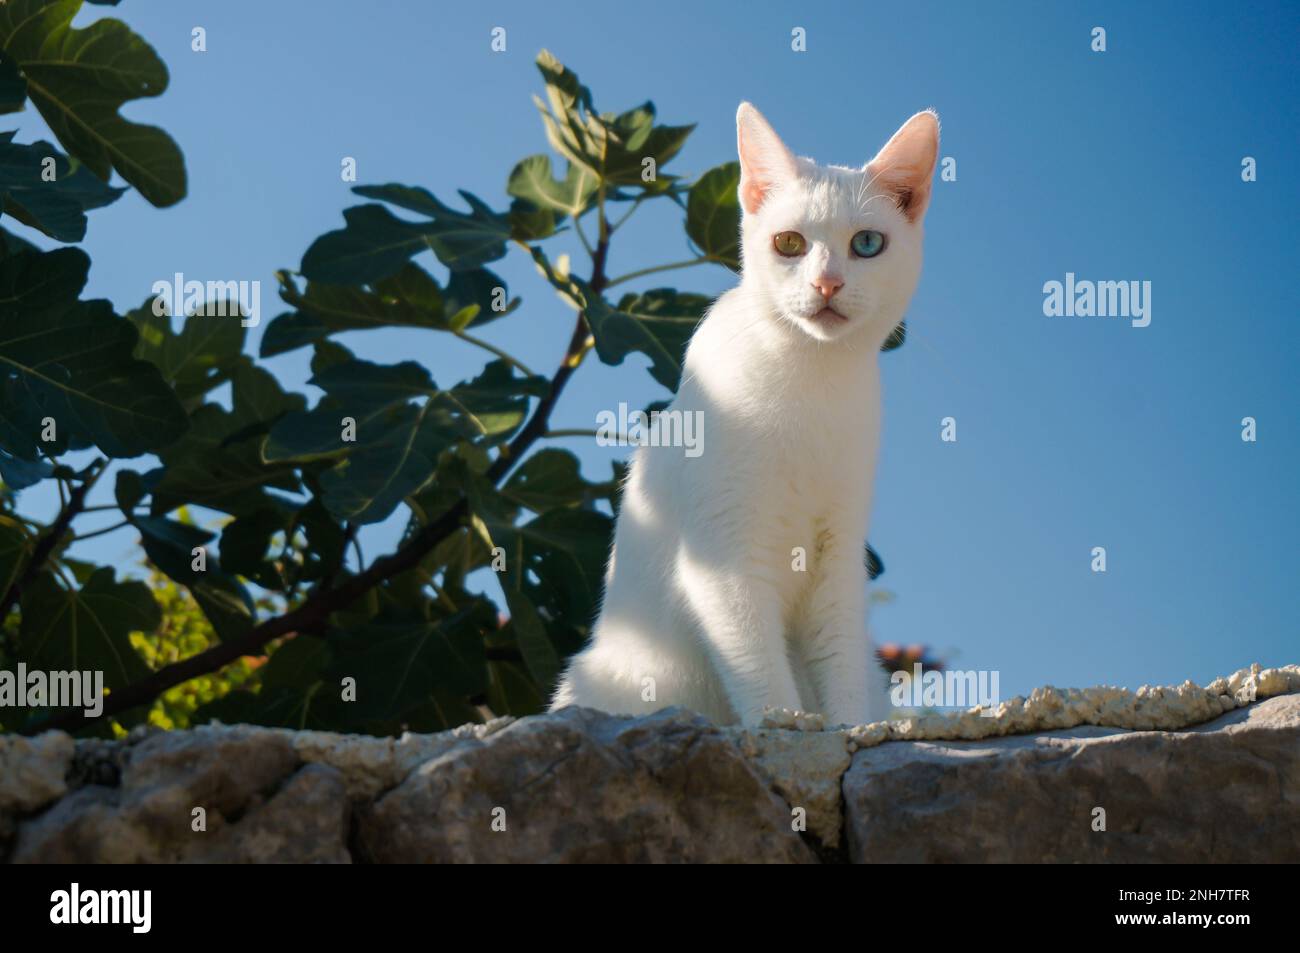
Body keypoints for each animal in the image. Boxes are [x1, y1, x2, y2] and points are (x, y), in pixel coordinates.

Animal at [553, 104, 941, 722]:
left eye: (867, 243)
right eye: (789, 242)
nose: (827, 283)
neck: (812, 379)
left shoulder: (839, 560)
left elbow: (842, 667)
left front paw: (850, 728)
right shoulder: (724, 558)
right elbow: (760, 670)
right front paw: (787, 724)